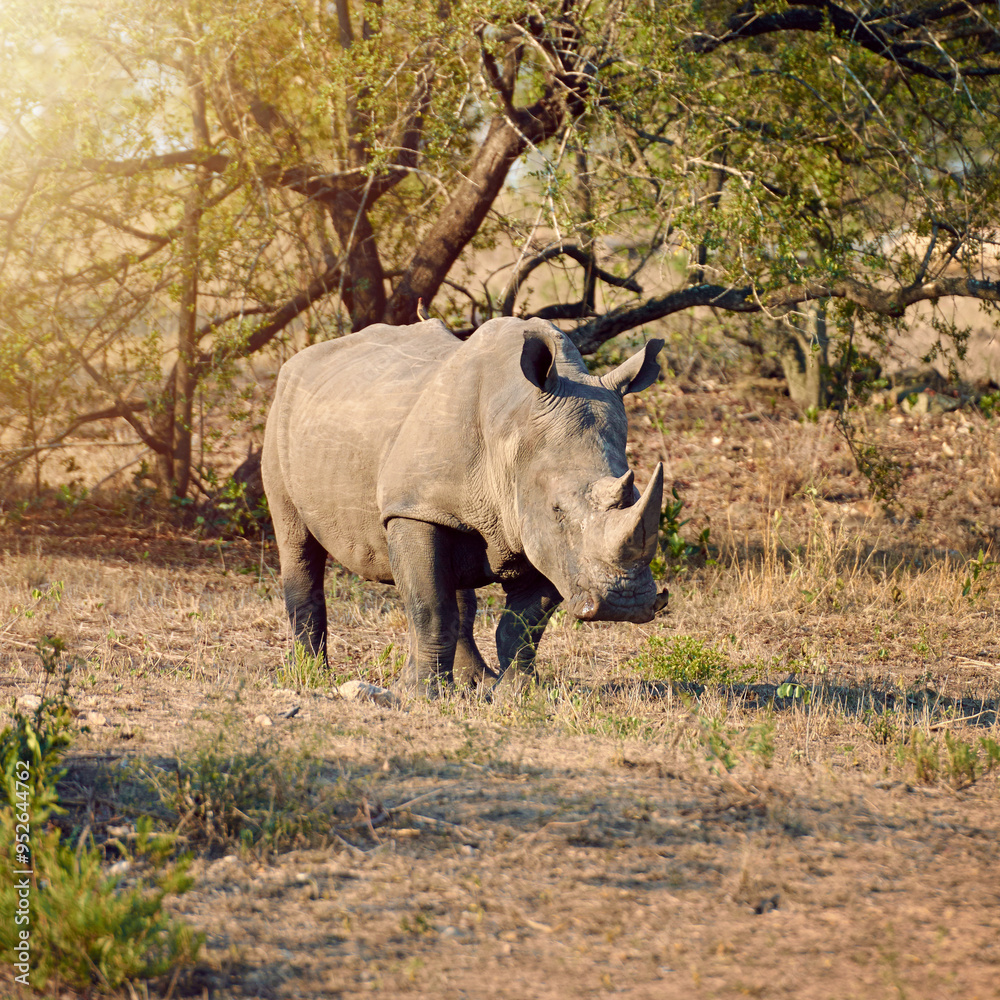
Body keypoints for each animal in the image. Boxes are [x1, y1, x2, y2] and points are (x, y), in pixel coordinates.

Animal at [261, 316, 668, 695]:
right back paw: (311, 676)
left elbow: (523, 624)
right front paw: (420, 695)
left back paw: (477, 681)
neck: (514, 428)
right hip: (281, 416)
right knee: (298, 544)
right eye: (558, 511)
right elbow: (431, 609)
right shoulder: (416, 508)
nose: (625, 604)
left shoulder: (543, 538)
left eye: (635, 497)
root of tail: (297, 361)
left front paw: (516, 693)